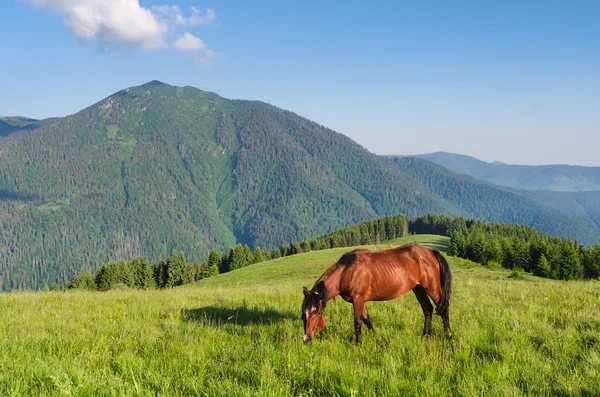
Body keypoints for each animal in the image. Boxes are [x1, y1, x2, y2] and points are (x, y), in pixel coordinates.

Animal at [302, 243, 452, 342]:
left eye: (318, 312)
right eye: (304, 313)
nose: (306, 338)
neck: (346, 272)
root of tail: (431, 252)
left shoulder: (358, 298)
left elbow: (358, 321)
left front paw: (358, 343)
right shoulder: (360, 300)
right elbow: (366, 319)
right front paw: (374, 336)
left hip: (432, 288)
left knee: (443, 309)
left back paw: (448, 335)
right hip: (418, 288)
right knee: (427, 309)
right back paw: (425, 335)